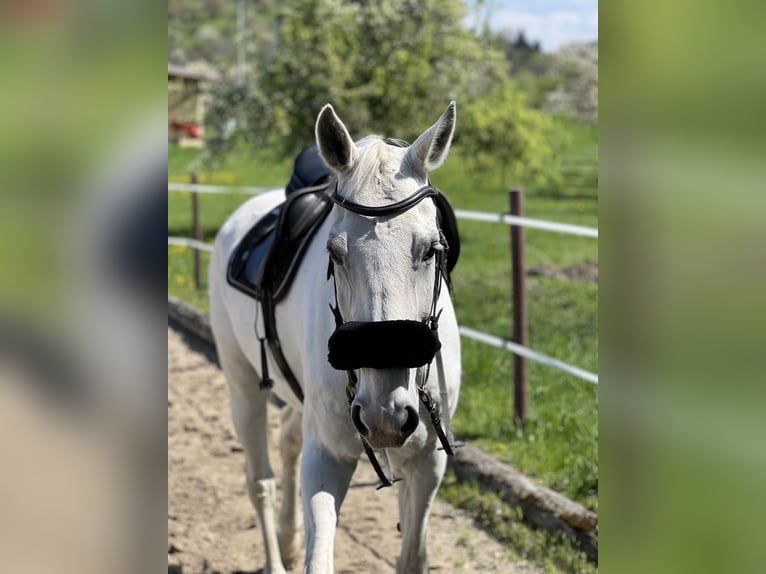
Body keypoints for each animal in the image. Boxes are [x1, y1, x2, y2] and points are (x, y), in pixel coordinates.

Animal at [208, 102, 461, 574]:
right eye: (335, 253)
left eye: (431, 250)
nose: (383, 416)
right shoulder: (326, 456)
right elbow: (318, 557)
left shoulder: (428, 461)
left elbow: (412, 556)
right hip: (242, 386)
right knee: (260, 482)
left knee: (288, 440)